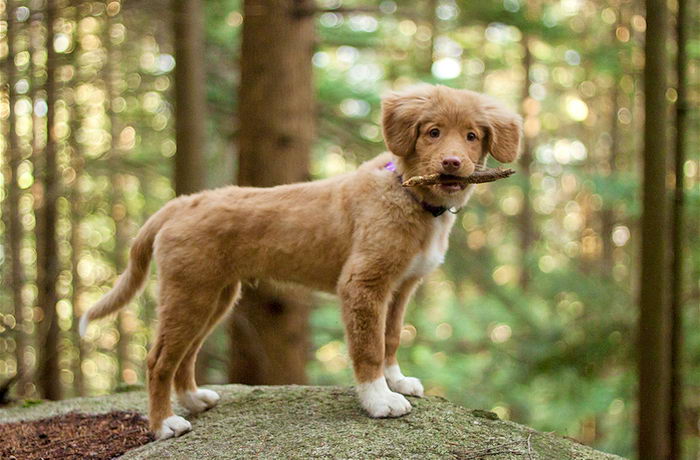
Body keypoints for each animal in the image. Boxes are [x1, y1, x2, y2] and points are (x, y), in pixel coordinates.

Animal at [80, 84, 520, 440]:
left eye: (472, 136)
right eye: (433, 133)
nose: (452, 163)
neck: (409, 195)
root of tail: (182, 203)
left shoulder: (401, 287)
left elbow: (390, 337)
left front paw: (395, 380)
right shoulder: (362, 285)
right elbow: (368, 347)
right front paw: (379, 399)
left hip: (215, 295)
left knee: (185, 353)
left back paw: (192, 399)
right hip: (190, 291)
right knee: (158, 360)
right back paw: (164, 425)